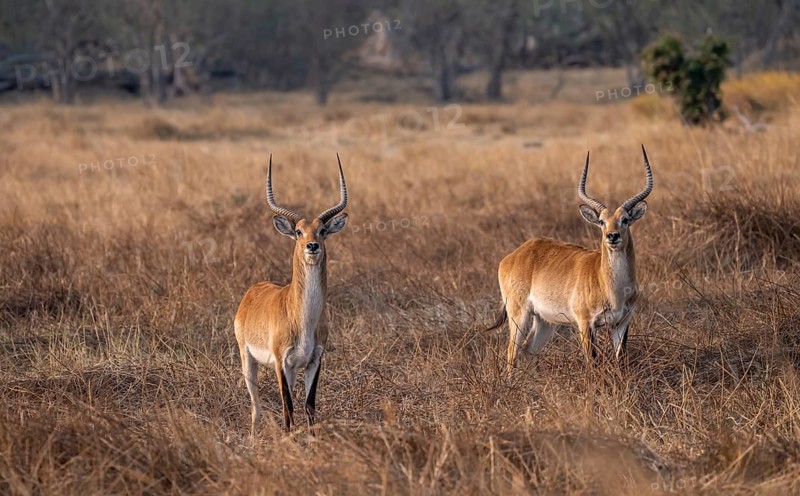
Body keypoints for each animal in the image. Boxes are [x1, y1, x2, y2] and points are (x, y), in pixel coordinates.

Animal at [234, 155, 348, 434]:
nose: (312, 246)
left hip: (293, 370)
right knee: (255, 406)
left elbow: (308, 406)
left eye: (322, 230)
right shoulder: (280, 361)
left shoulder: (314, 360)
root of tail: (254, 290)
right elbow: (288, 408)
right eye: (298, 231)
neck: (302, 317)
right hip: (248, 360)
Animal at [494, 146, 653, 373]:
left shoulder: (622, 323)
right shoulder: (585, 323)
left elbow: (620, 359)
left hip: (545, 321)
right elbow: (592, 361)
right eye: (601, 221)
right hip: (519, 314)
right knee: (511, 352)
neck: (610, 287)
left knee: (527, 350)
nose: (612, 236)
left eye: (625, 219)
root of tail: (515, 254)